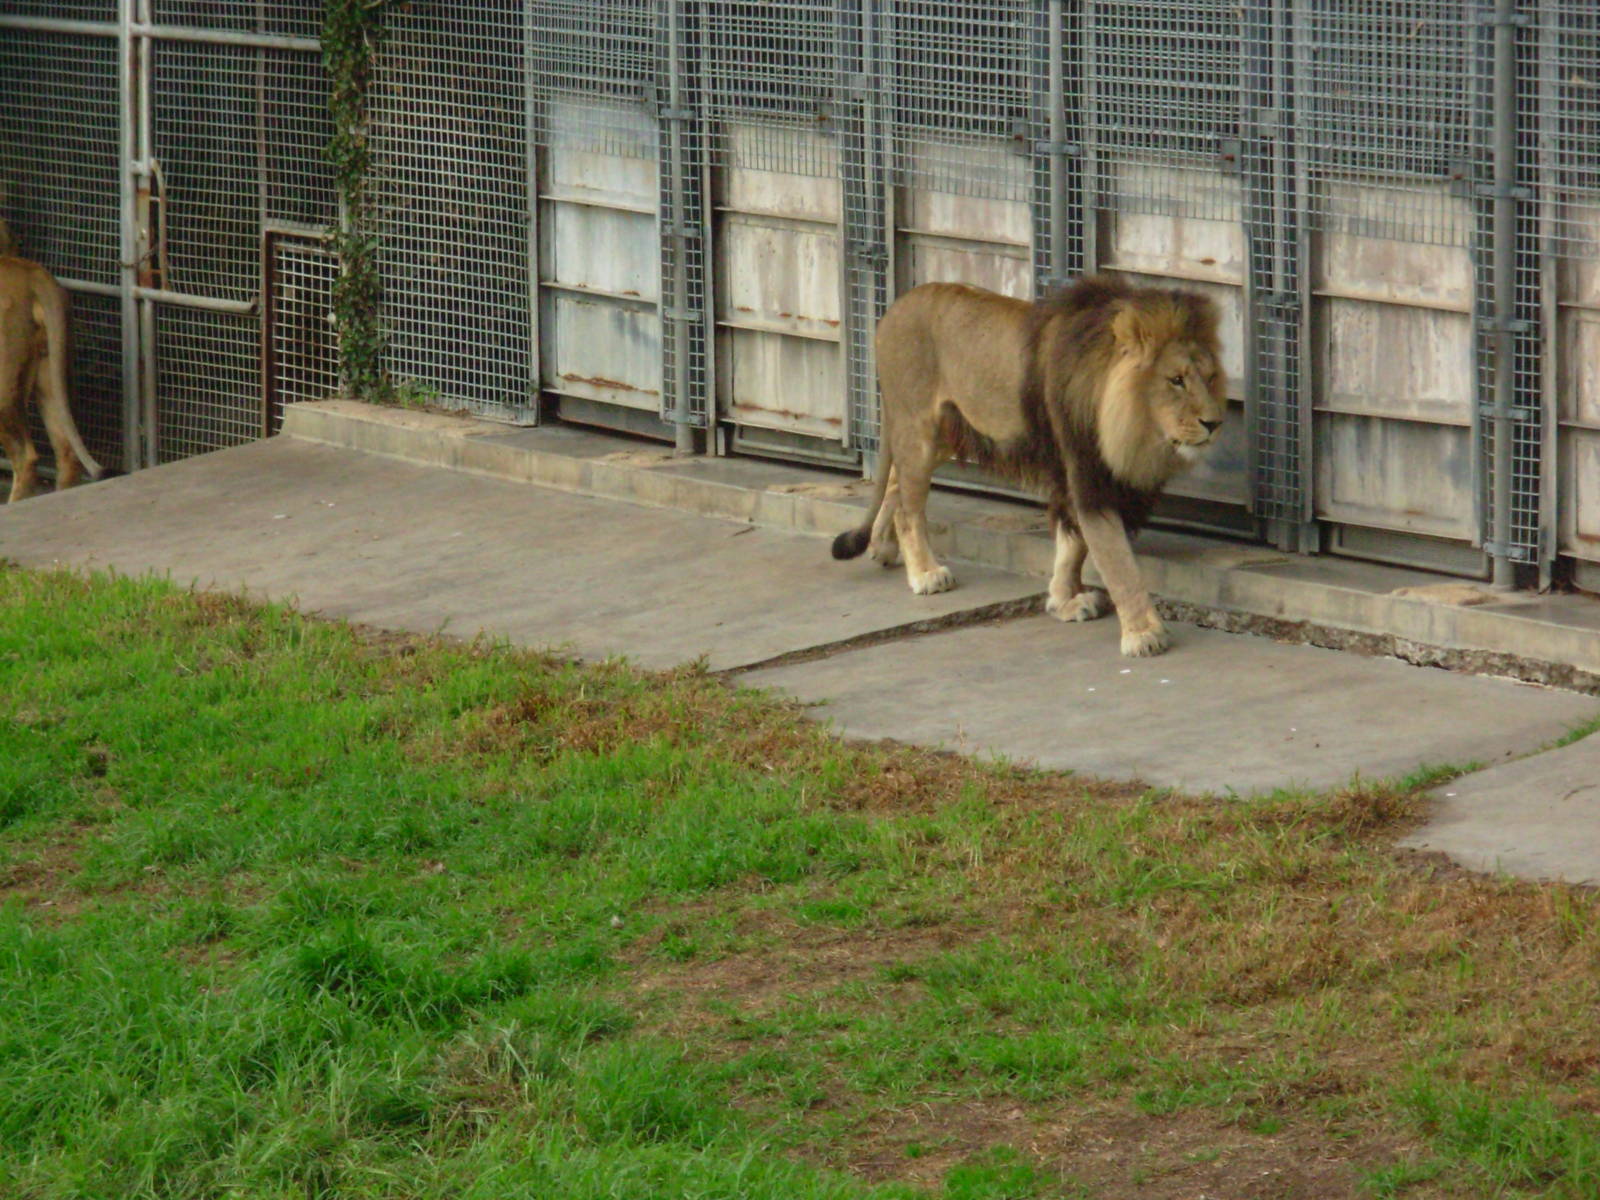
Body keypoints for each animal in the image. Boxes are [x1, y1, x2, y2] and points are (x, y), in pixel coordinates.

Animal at [831, 274, 1226, 658]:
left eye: (1209, 378)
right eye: (1176, 380)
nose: (1215, 423)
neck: (1136, 430)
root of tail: (892, 309)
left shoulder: (1072, 478)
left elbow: (1073, 546)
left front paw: (1065, 601)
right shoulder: (1088, 478)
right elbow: (1117, 562)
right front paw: (1142, 633)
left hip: (946, 434)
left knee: (894, 481)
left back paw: (882, 546)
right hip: (920, 431)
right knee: (909, 507)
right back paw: (925, 573)